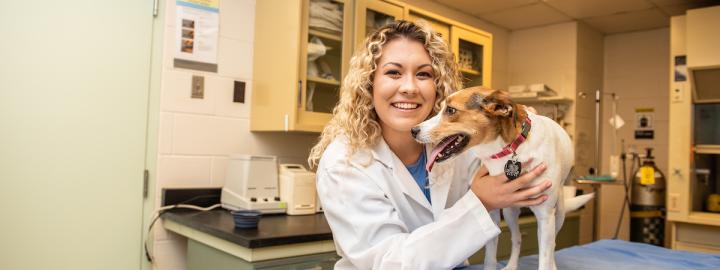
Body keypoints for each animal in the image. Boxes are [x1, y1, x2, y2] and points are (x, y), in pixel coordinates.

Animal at [414, 87, 592, 270]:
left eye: (450, 110)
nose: (413, 130)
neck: (509, 149)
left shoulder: (545, 215)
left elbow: (545, 258)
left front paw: (548, 264)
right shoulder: (491, 212)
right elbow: (490, 258)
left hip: (559, 214)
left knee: (552, 245)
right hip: (509, 212)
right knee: (517, 238)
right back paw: (512, 265)